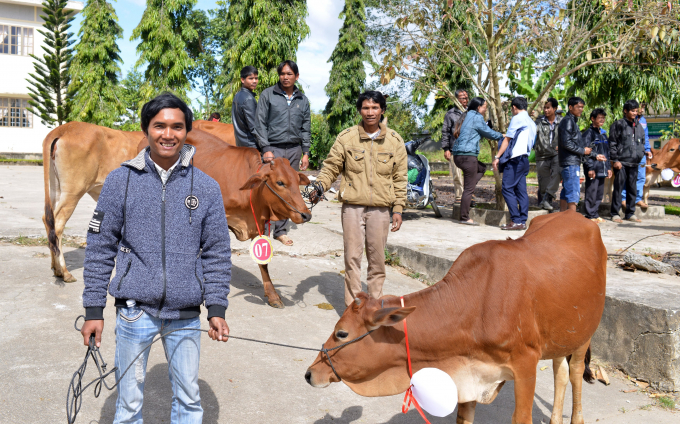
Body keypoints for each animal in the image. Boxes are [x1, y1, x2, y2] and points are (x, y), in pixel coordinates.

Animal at [306, 210, 604, 422]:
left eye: (342, 333)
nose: (310, 374)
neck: (477, 305)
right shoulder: (470, 374)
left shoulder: (526, 365)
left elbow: (522, 417)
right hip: (560, 336)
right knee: (560, 372)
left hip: (584, 335)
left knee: (575, 373)